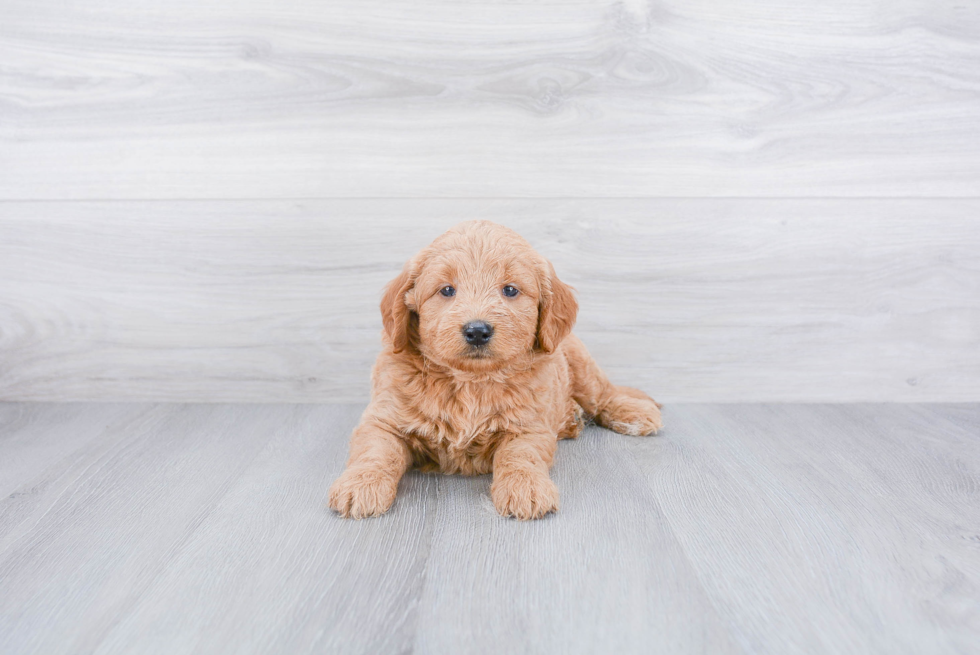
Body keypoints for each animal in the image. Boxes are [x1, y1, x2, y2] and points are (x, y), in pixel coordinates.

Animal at [328, 223, 660, 520]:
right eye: (446, 290)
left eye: (510, 290)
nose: (477, 331)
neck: (470, 381)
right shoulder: (382, 419)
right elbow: (376, 452)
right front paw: (360, 484)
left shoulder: (528, 425)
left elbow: (519, 456)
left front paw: (526, 488)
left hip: (579, 362)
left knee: (602, 394)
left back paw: (633, 412)